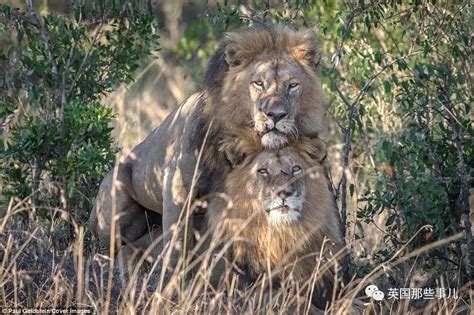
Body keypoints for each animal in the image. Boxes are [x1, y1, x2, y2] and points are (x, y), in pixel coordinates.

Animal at [88, 24, 326, 270]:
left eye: (292, 85)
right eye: (258, 83)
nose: (276, 115)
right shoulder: (178, 184)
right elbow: (177, 243)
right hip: (115, 199)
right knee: (109, 247)